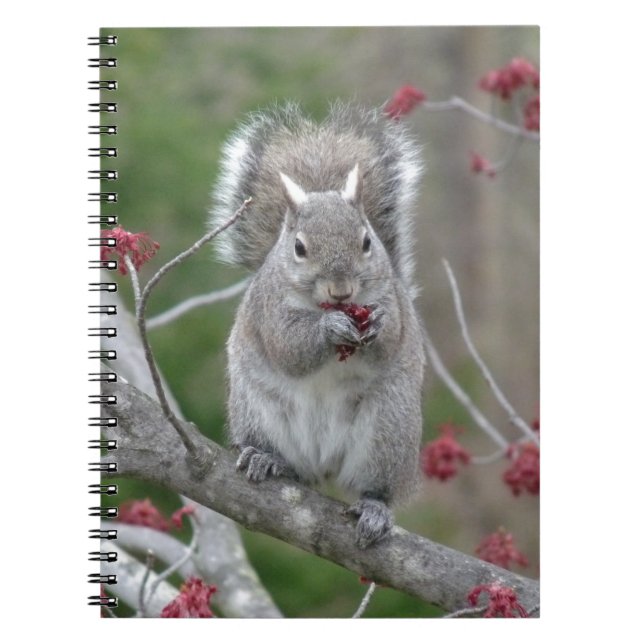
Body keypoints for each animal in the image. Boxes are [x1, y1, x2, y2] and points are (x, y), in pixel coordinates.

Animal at [210, 102, 426, 548]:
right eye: (299, 247)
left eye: (367, 241)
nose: (342, 291)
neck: (324, 306)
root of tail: (324, 465)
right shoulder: (269, 309)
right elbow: (289, 347)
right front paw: (329, 330)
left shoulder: (393, 301)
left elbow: (391, 334)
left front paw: (376, 327)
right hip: (259, 412)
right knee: (288, 464)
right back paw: (265, 459)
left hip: (388, 432)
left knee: (375, 485)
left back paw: (375, 508)